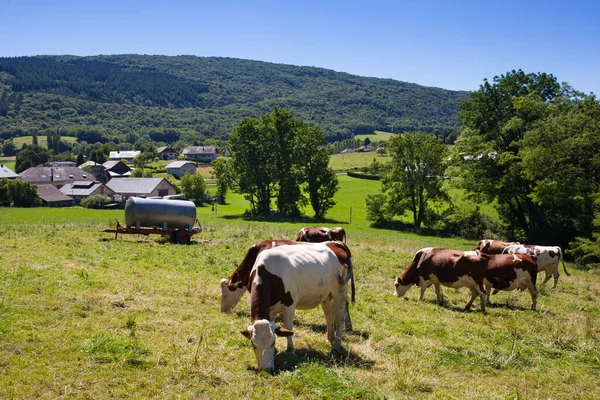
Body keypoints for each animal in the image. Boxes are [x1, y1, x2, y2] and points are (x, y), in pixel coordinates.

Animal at [240, 242, 352, 370]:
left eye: (273, 342)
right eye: (253, 344)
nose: (266, 369)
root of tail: (334, 243)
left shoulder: (289, 304)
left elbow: (288, 328)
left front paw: (291, 350)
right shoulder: (270, 309)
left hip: (340, 292)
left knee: (339, 320)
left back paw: (336, 346)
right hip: (327, 296)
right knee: (329, 317)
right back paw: (331, 339)